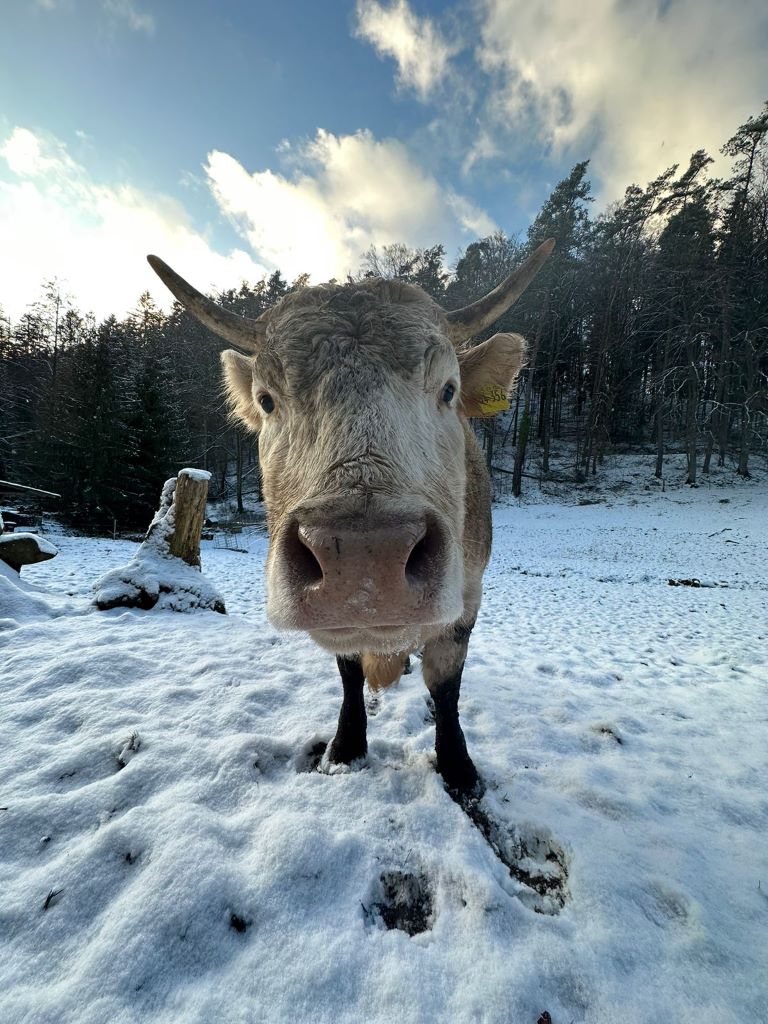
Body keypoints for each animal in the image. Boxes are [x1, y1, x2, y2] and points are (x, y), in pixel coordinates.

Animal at [145, 241, 552, 798]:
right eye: (267, 400)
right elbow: (349, 671)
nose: (364, 560)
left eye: (448, 390)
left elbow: (446, 684)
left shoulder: (469, 593)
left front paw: (458, 767)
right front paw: (345, 748)